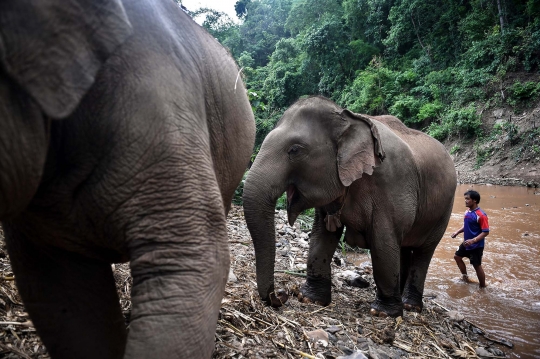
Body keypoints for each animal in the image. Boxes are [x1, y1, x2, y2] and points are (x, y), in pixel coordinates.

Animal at [244, 96, 456, 318]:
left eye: (295, 150)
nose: (281, 295)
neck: (348, 118)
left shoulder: (393, 184)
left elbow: (383, 242)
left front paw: (382, 313)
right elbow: (321, 236)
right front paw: (310, 299)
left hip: (444, 211)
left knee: (424, 252)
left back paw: (409, 306)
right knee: (405, 248)